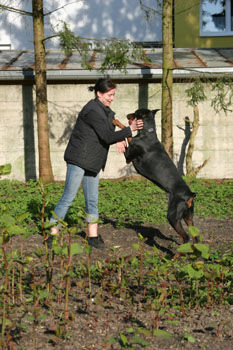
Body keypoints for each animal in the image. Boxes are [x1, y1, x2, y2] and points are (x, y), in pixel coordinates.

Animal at [124, 108, 197, 243]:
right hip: (188, 215)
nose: (127, 115)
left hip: (173, 216)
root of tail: (189, 195)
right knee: (196, 236)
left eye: (135, 112)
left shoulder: (128, 156)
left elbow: (129, 138)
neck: (147, 133)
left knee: (185, 237)